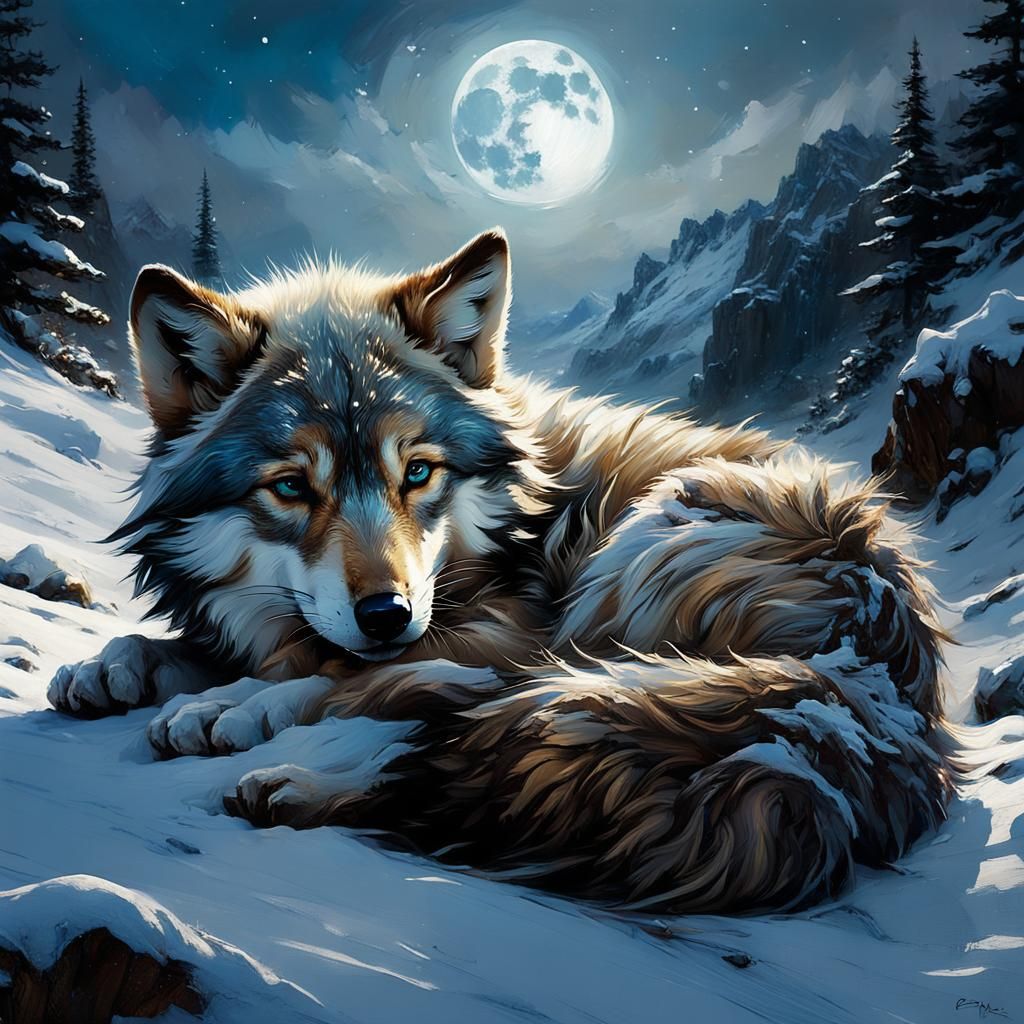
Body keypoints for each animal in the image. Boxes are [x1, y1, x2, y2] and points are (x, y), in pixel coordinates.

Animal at [49, 229, 951, 915]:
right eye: (292, 488)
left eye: (418, 473)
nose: (386, 612)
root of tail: (886, 682)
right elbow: (217, 648)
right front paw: (117, 665)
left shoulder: (508, 622)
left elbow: (333, 672)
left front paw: (231, 705)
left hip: (642, 547)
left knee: (464, 718)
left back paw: (293, 778)